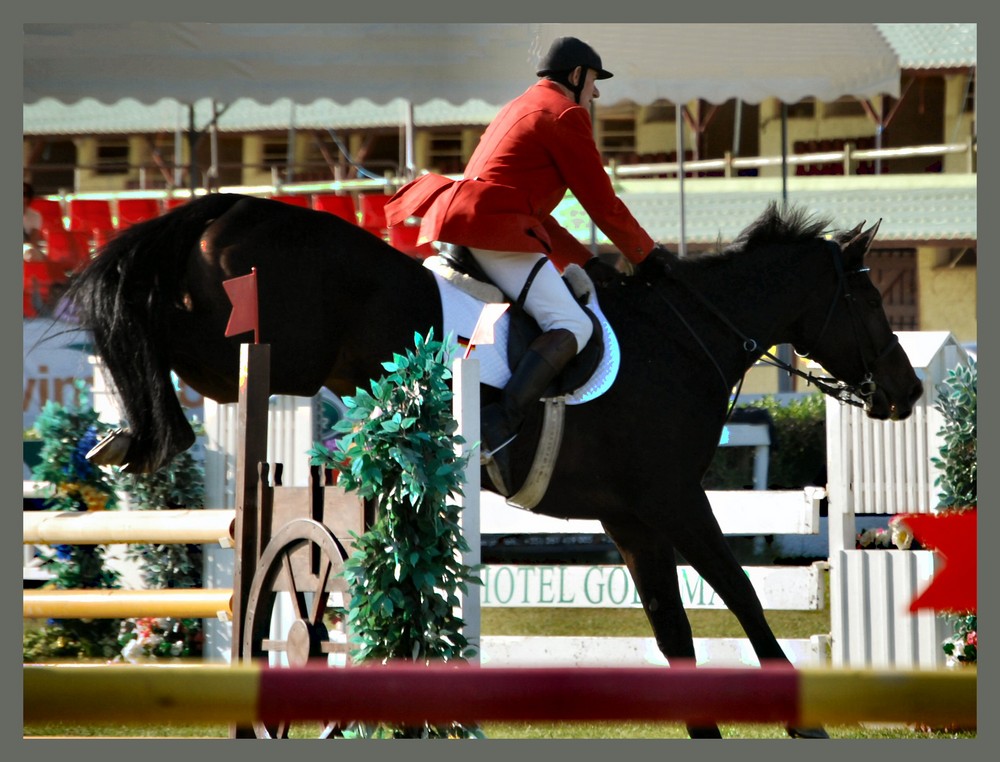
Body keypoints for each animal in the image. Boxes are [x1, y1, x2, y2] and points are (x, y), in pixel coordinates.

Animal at [64, 191, 920, 736]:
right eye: (872, 302)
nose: (906, 392)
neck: (687, 336)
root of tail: (227, 205)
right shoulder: (675, 501)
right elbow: (742, 594)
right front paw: (804, 728)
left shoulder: (634, 521)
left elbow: (674, 631)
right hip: (266, 350)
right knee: (163, 341)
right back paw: (137, 422)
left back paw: (126, 432)